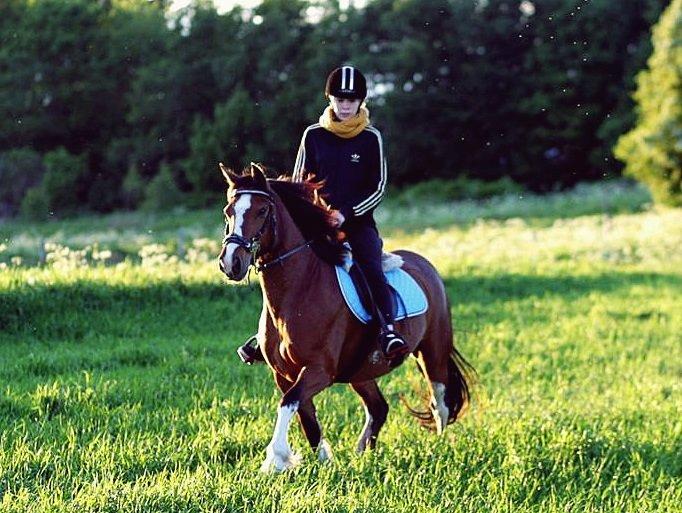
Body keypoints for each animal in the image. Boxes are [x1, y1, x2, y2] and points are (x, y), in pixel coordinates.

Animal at [218, 164, 472, 472]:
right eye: (228, 211)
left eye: (262, 211)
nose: (231, 263)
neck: (299, 291)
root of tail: (426, 265)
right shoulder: (284, 374)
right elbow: (305, 415)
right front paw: (323, 461)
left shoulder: (319, 370)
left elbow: (289, 403)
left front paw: (276, 460)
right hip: (360, 371)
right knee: (379, 408)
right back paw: (363, 453)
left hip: (432, 352)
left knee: (440, 402)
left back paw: (439, 449)